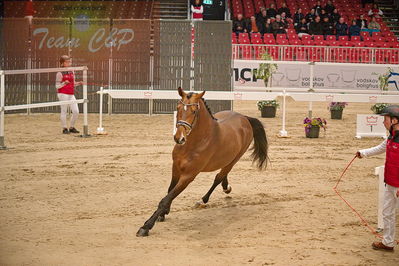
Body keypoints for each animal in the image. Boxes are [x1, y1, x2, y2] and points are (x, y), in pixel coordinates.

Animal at [136, 87, 270, 237]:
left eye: (194, 111)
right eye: (178, 108)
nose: (179, 138)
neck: (194, 143)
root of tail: (244, 117)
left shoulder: (188, 176)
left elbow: (166, 199)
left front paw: (146, 226)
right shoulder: (175, 169)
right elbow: (169, 192)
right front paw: (163, 214)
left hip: (235, 159)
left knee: (219, 177)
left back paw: (203, 200)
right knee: (223, 174)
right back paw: (226, 187)